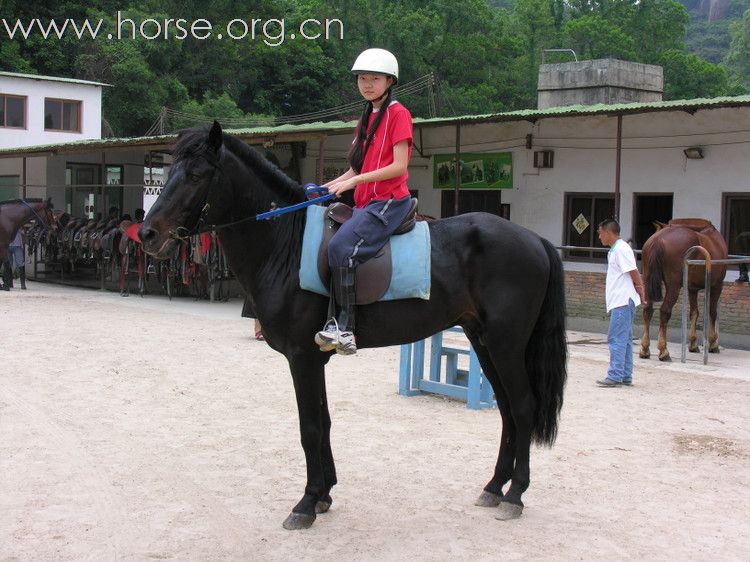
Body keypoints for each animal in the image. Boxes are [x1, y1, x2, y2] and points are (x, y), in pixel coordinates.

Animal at [138, 120, 568, 528]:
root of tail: (535, 239)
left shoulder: (302, 358)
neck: (285, 242)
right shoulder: (314, 359)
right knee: (508, 411)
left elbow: (310, 427)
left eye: (195, 175)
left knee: (523, 407)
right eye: (168, 172)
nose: (147, 234)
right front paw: (325, 494)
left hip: (506, 344)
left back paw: (515, 495)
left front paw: (306, 503)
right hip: (483, 342)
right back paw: (494, 487)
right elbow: (324, 422)